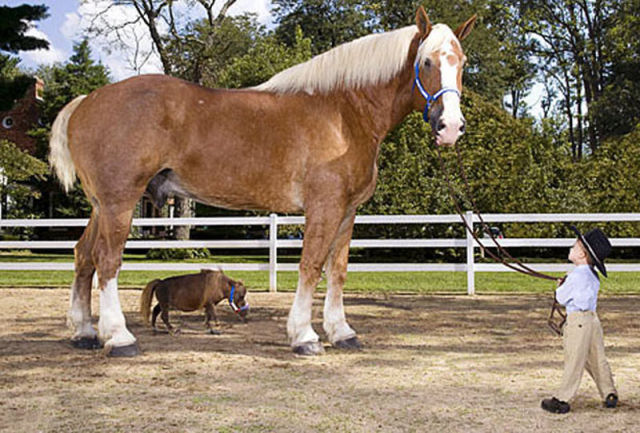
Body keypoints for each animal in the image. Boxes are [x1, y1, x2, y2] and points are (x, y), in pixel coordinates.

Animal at [48, 6, 476, 356]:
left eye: (462, 63)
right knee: (107, 260)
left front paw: (341, 332)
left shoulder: (347, 212)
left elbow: (337, 270)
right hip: (120, 201)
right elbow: (311, 266)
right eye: (426, 62)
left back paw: (84, 333)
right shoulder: (323, 208)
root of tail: (86, 101)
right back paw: (119, 338)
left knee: (83, 256)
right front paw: (304, 336)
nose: (450, 127)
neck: (343, 113)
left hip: (101, 206)